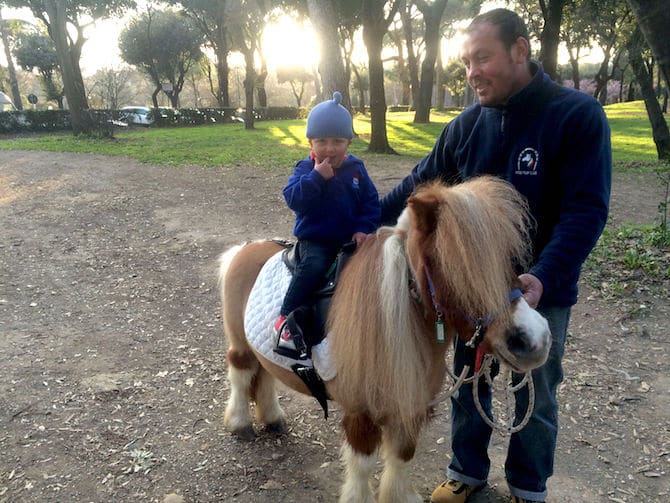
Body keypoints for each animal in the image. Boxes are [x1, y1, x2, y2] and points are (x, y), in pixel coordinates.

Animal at [218, 177, 552, 503]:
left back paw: (272, 418)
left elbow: (403, 455)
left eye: (508, 261)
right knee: (241, 372)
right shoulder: (361, 413)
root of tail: (245, 249)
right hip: (241, 344)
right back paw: (240, 423)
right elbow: (363, 465)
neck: (396, 321)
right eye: (456, 267)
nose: (533, 340)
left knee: (264, 375)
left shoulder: (410, 406)